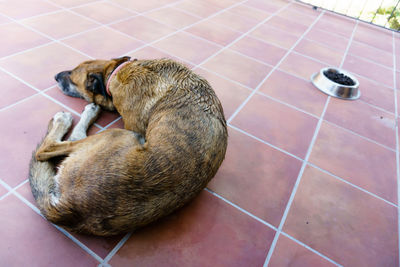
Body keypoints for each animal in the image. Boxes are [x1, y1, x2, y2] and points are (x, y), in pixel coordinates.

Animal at [28, 57, 227, 237]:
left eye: (71, 76)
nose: (55, 76)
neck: (117, 71)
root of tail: (70, 209)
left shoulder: (132, 126)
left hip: (119, 134)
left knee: (47, 149)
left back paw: (69, 118)